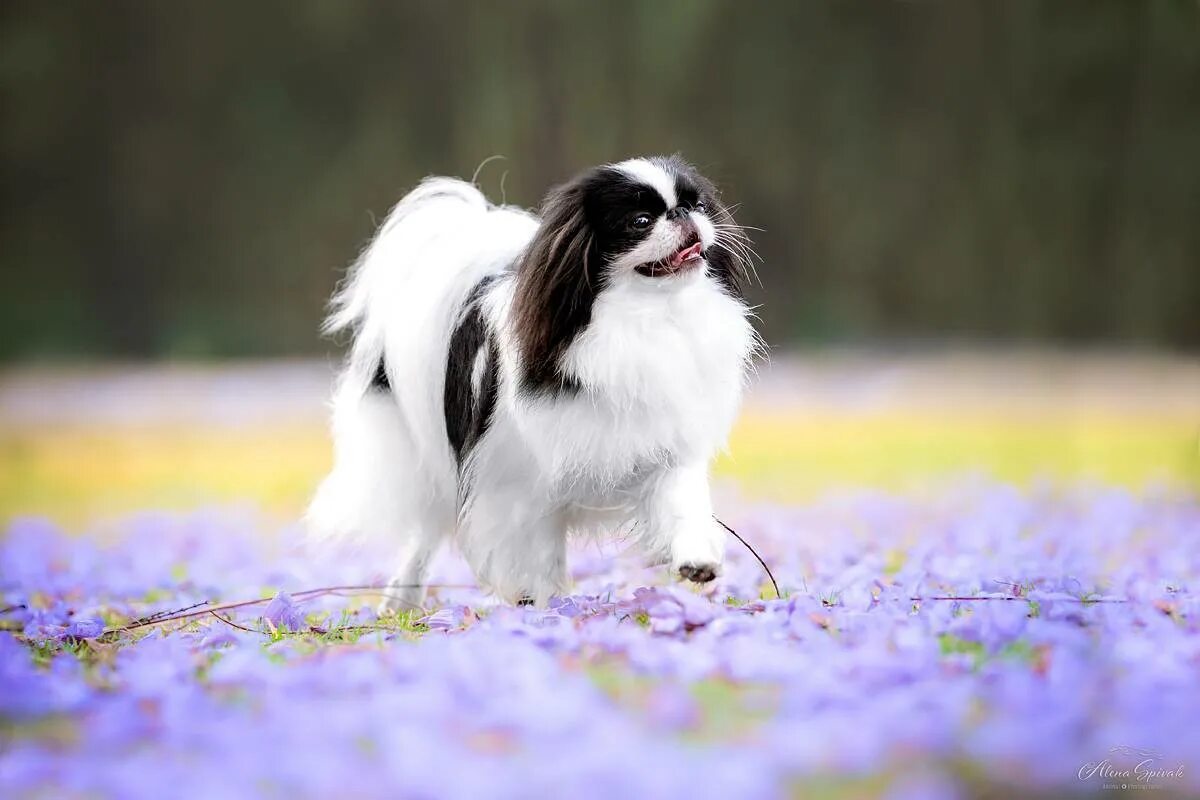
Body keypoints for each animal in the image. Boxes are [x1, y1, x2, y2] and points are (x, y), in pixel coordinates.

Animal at [307, 154, 758, 606]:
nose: (682, 214)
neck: (645, 322)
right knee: (426, 534)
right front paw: (540, 606)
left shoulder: (664, 452)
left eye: (696, 205)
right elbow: (531, 557)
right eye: (641, 221)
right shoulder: (515, 486)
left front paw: (697, 560)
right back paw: (403, 600)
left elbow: (681, 504)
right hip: (428, 468)